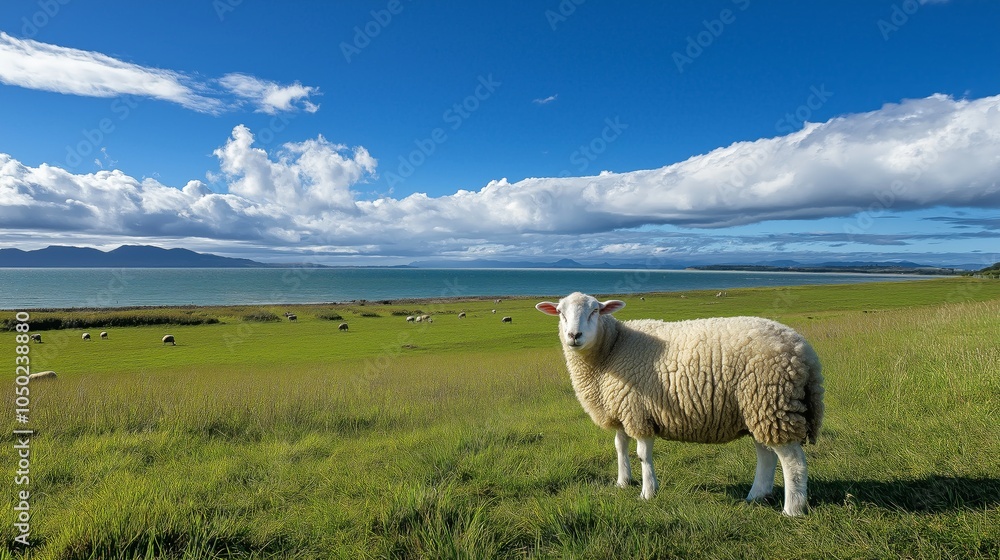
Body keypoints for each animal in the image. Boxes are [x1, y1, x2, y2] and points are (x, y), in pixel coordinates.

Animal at [535, 292, 824, 517]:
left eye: (595, 310)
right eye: (560, 312)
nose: (574, 335)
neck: (613, 348)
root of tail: (803, 349)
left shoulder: (638, 410)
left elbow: (642, 454)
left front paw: (648, 492)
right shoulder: (622, 408)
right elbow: (620, 447)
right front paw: (623, 482)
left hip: (772, 401)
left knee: (792, 460)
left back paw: (792, 509)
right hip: (757, 408)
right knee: (766, 454)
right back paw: (756, 495)